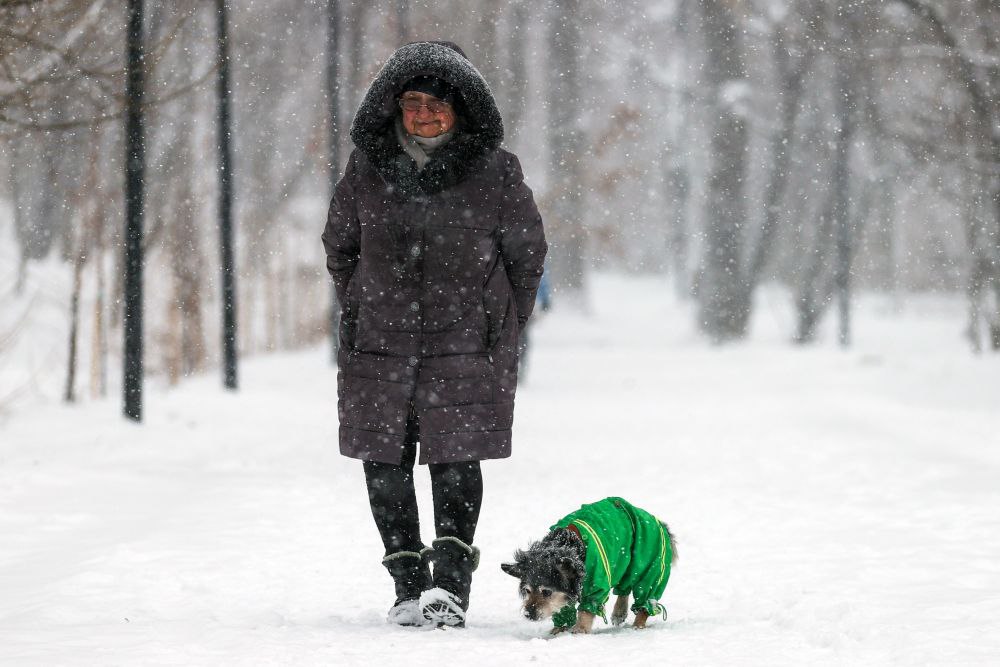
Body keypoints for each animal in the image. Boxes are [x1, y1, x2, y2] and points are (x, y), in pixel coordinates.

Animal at [500, 496, 680, 636]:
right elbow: (564, 608)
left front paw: (580, 630)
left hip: (650, 562)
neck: (569, 545)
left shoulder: (596, 583)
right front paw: (558, 630)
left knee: (646, 598)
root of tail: (659, 522)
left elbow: (587, 609)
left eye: (546, 592)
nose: (529, 614)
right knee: (624, 587)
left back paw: (638, 625)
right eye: (527, 591)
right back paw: (619, 613)